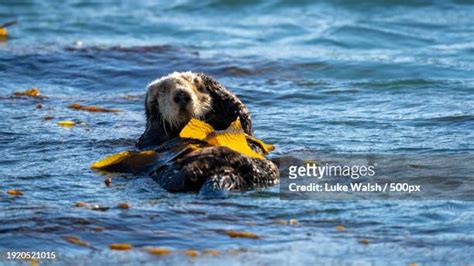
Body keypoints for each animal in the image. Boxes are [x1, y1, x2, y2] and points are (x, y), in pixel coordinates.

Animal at [136, 71, 278, 196]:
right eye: (163, 90)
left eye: (195, 87)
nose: (181, 95)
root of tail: (223, 171)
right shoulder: (150, 138)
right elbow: (153, 132)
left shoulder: (240, 122)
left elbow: (241, 114)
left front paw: (207, 82)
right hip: (170, 178)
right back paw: (219, 155)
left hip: (267, 169)